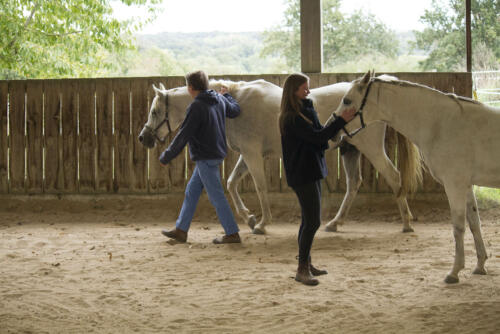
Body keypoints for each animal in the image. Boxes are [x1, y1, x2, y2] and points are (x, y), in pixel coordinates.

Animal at [138, 78, 422, 235]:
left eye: (154, 111)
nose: (144, 138)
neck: (233, 106)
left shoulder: (253, 155)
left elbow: (260, 187)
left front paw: (262, 223)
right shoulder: (246, 155)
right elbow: (231, 183)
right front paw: (249, 218)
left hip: (371, 148)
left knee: (394, 177)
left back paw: (407, 223)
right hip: (349, 149)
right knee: (354, 185)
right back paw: (334, 223)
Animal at [332, 72, 500, 284]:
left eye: (347, 100)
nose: (332, 130)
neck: (441, 123)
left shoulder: (454, 184)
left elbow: (458, 227)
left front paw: (454, 273)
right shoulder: (466, 185)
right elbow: (474, 223)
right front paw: (480, 265)